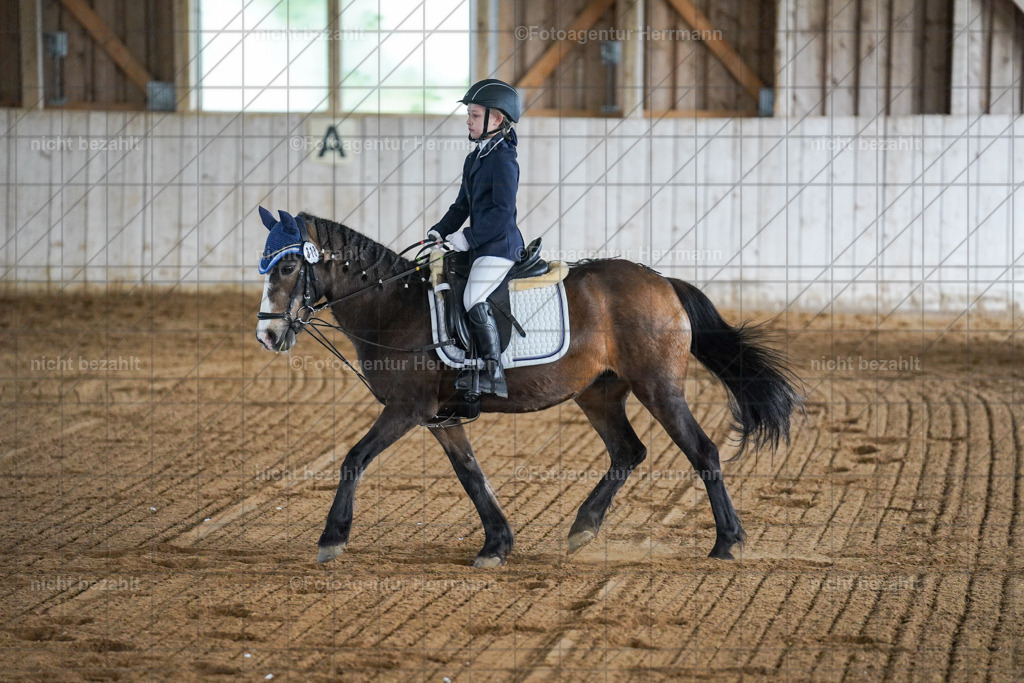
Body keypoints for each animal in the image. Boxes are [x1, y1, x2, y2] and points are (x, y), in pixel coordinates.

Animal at [255, 212, 802, 568]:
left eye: (288, 268)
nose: (268, 335)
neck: (391, 304)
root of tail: (662, 282)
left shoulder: (407, 408)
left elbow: (353, 458)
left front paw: (331, 538)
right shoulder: (440, 417)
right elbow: (472, 476)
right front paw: (497, 544)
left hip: (659, 387)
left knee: (702, 450)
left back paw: (727, 542)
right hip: (599, 393)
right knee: (628, 451)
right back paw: (583, 528)